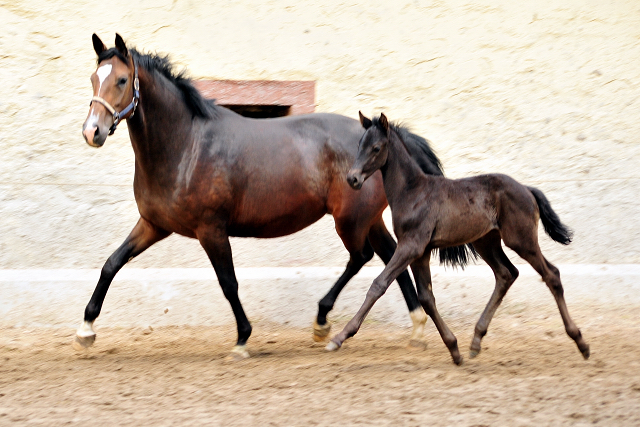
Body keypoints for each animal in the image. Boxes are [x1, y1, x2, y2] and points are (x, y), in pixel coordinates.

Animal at [328, 112, 592, 366]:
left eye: (376, 148)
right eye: (360, 144)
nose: (352, 179)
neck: (414, 192)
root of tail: (527, 189)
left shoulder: (411, 246)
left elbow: (379, 284)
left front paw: (339, 338)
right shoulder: (421, 252)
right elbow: (426, 297)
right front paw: (454, 349)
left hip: (521, 240)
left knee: (551, 274)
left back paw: (581, 343)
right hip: (486, 242)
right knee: (506, 274)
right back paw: (476, 341)